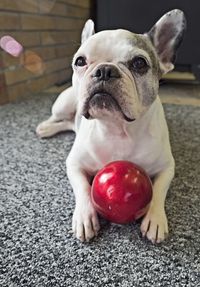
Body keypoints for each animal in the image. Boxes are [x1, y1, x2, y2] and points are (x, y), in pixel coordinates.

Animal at [36, 9, 186, 244]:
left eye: (139, 63)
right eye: (80, 61)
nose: (104, 70)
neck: (117, 128)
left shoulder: (167, 167)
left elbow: (159, 189)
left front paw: (155, 218)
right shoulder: (74, 164)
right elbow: (83, 188)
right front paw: (84, 217)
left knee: (70, 124)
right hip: (64, 103)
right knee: (59, 118)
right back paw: (45, 127)